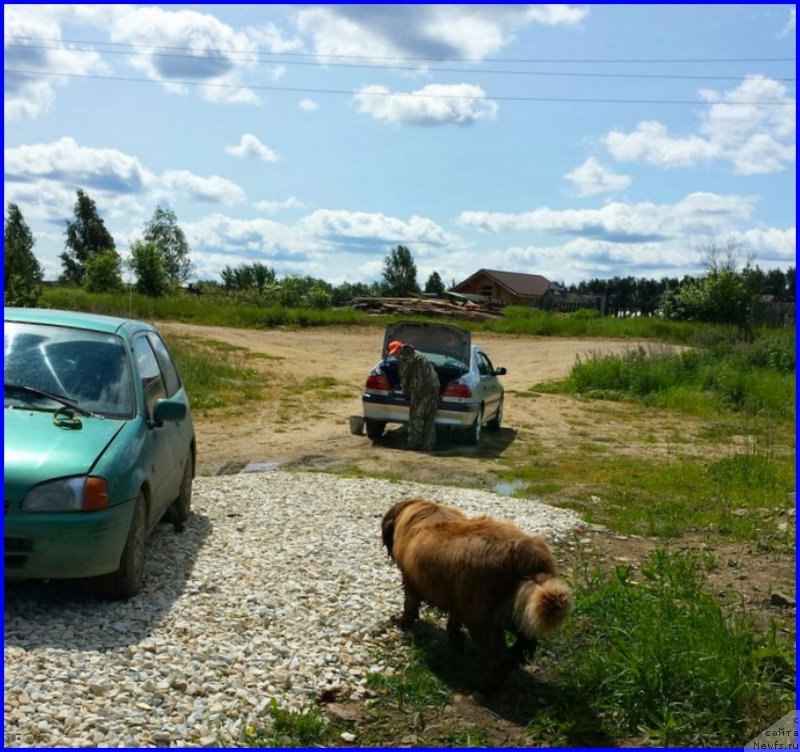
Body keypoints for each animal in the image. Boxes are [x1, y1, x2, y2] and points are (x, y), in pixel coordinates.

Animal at [380, 496, 572, 692]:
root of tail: (527, 557)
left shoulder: (411, 582)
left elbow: (410, 607)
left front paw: (402, 623)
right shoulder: (457, 597)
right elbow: (453, 620)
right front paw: (454, 637)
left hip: (480, 615)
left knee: (499, 656)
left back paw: (487, 685)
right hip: (514, 608)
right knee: (525, 639)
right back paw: (514, 658)